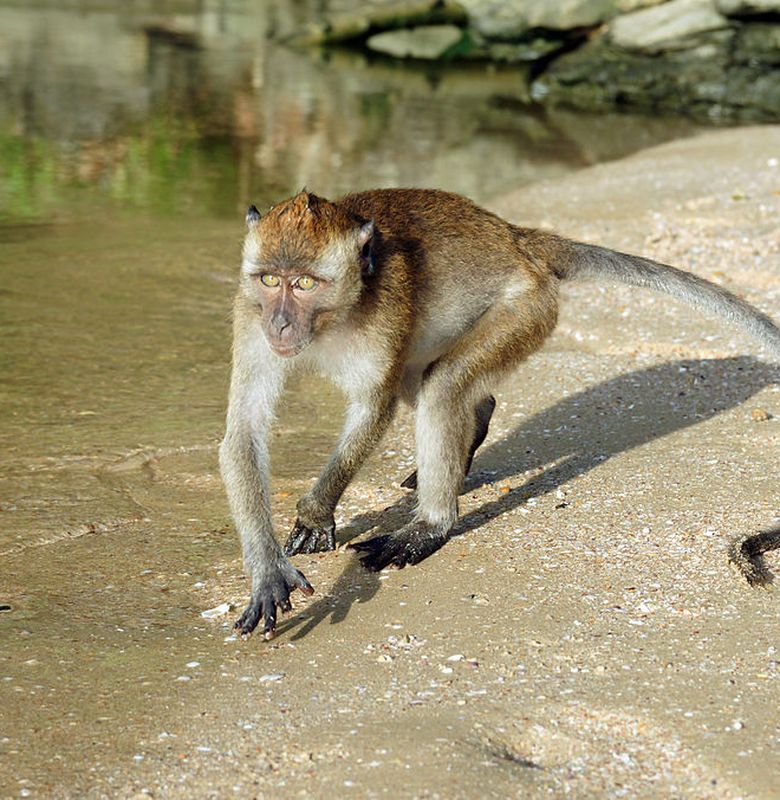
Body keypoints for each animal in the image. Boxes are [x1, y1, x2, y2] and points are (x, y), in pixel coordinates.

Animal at [218, 186, 780, 636]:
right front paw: (268, 570)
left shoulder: (385, 312)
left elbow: (373, 409)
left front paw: (315, 513)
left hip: (528, 308)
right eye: (269, 279)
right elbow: (242, 432)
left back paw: (430, 526)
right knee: (430, 380)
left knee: (442, 386)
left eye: (304, 283)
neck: (333, 318)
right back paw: (473, 427)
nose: (281, 325)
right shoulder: (248, 314)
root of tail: (516, 237)